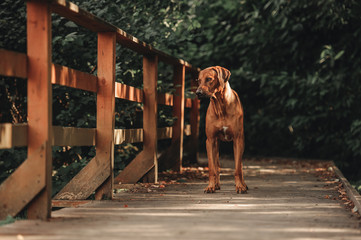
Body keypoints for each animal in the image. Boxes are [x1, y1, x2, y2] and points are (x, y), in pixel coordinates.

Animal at [195, 65, 246, 193]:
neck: (221, 106)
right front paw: (210, 186)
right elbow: (212, 168)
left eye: (209, 79)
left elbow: (237, 169)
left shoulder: (238, 140)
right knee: (216, 165)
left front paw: (240, 186)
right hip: (216, 144)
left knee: (240, 165)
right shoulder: (210, 141)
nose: (198, 93)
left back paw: (244, 184)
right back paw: (216, 184)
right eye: (198, 80)